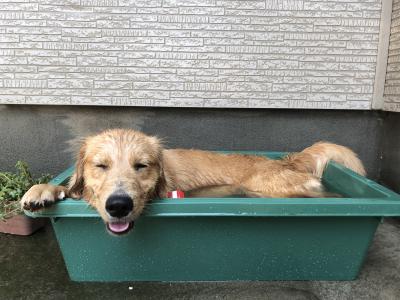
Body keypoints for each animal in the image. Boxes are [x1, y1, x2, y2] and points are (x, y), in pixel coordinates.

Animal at [21, 128, 366, 234]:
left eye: (141, 166)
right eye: (101, 166)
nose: (119, 205)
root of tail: (285, 160)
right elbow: (67, 189)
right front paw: (41, 190)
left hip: (269, 189)